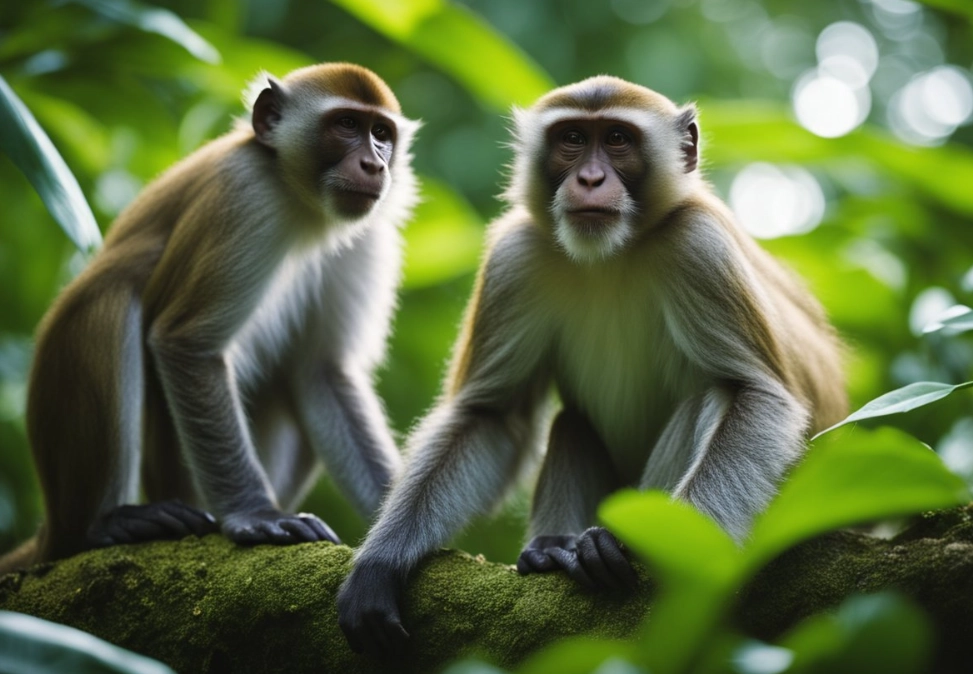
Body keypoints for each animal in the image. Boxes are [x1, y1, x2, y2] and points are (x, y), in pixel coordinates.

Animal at [0, 63, 419, 575]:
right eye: (346, 125)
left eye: (381, 133)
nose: (375, 164)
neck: (303, 205)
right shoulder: (245, 195)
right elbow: (186, 343)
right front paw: (258, 515)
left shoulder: (367, 234)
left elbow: (323, 368)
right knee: (112, 300)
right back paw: (102, 525)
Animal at [336, 75, 846, 655]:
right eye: (574, 139)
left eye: (618, 139)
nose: (590, 177)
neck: (611, 256)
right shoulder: (516, 256)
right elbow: (492, 415)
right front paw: (379, 566)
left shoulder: (698, 246)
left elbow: (755, 395)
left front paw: (662, 549)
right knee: (572, 421)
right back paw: (552, 549)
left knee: (713, 396)